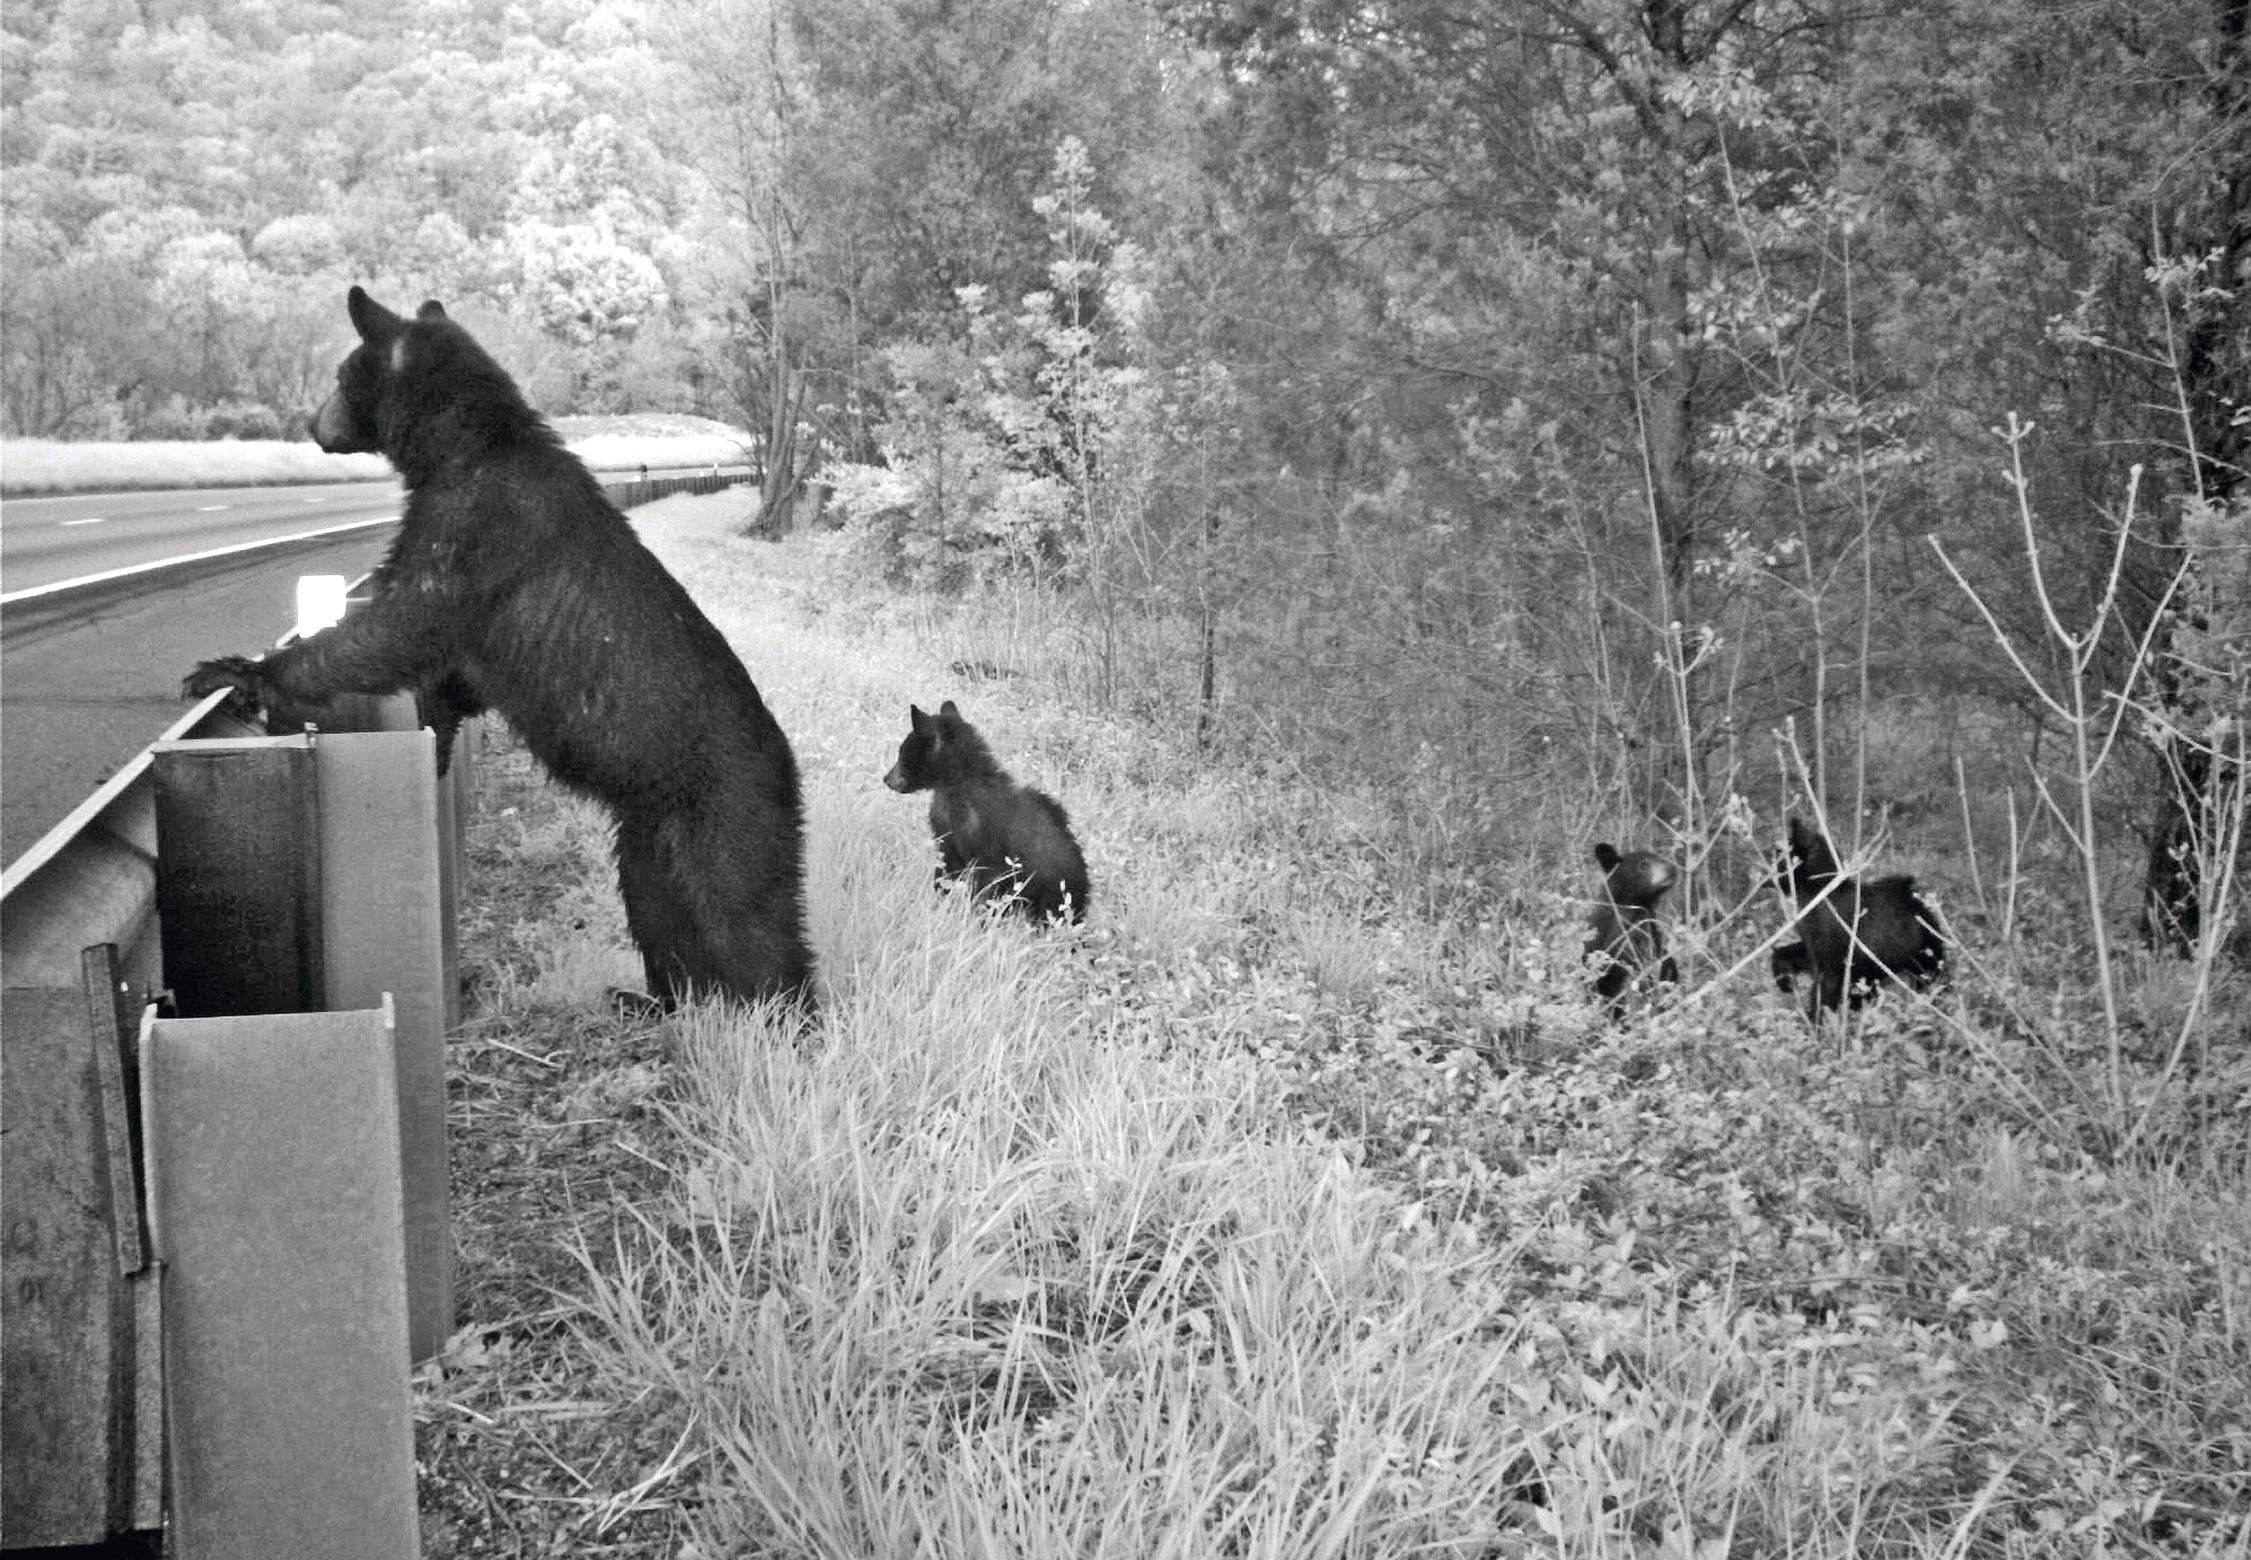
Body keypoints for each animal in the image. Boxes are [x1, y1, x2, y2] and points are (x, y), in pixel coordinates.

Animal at [184, 286, 813, 1011]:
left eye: (341, 377)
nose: (313, 424)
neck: (464, 447)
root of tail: (788, 766)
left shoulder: (472, 527)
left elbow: (398, 625)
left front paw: (238, 672)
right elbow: (450, 676)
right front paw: (433, 737)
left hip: (725, 810)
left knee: (744, 916)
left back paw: (785, 1013)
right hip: (649, 829)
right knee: (656, 905)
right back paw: (656, 1000)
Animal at [882, 700, 1089, 923]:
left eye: (903, 753)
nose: (886, 779)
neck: (954, 790)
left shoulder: (990, 848)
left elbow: (986, 888)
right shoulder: (947, 835)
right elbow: (944, 872)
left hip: (1054, 892)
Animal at [1776, 816, 1946, 1015]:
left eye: (1777, 856)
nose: (1759, 873)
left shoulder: (1833, 959)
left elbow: (1824, 993)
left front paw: (1815, 1018)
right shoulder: (1814, 950)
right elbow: (1782, 953)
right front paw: (1784, 981)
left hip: (1916, 962)